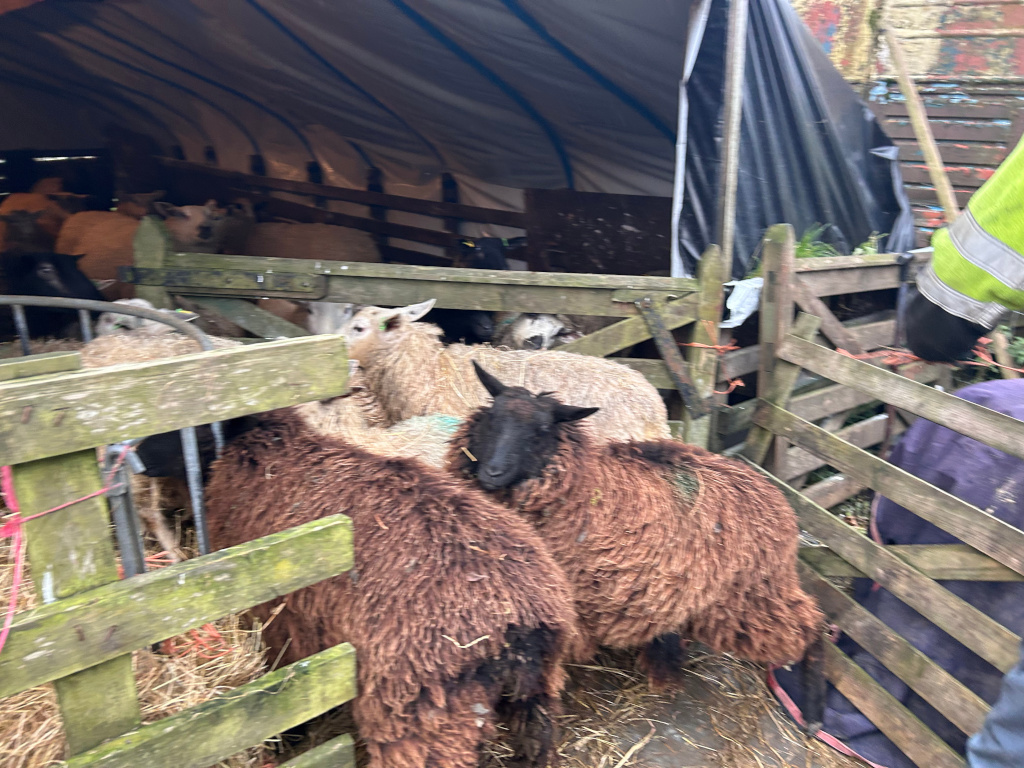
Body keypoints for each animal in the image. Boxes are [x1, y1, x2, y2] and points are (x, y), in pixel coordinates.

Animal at [448, 362, 824, 688]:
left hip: (755, 596)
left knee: (809, 626)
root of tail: (774, 494)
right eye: (493, 417)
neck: (584, 488)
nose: (492, 472)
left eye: (542, 431)